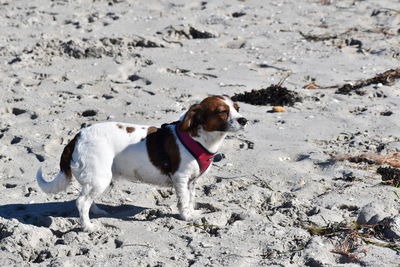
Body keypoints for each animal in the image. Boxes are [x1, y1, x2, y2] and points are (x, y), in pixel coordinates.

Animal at [36, 95, 247, 231]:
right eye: (222, 111)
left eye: (237, 108)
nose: (244, 120)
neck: (199, 138)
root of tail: (78, 137)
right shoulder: (180, 178)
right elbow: (183, 200)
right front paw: (185, 217)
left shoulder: (192, 181)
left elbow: (190, 199)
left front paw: (191, 213)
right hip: (100, 177)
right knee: (81, 202)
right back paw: (87, 226)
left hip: (96, 179)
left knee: (87, 199)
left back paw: (96, 211)